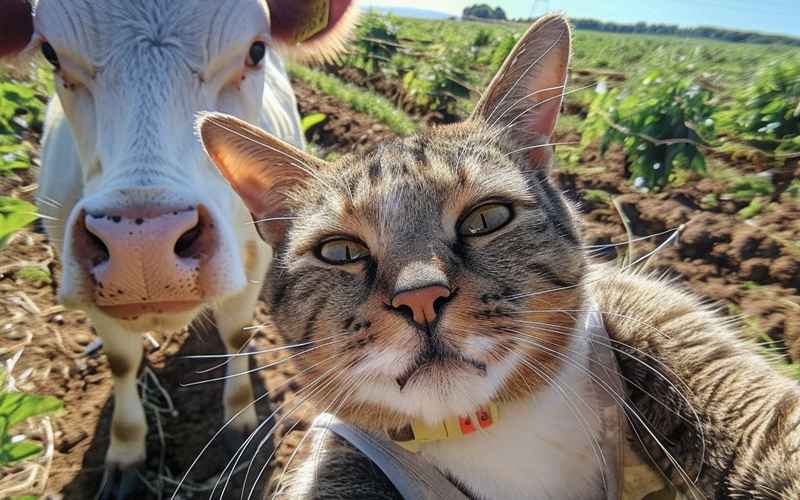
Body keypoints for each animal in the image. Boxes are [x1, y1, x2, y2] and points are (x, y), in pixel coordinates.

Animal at [0, 0, 356, 496]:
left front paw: (240, 418)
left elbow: (235, 336)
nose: (142, 249)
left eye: (256, 50)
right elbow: (121, 362)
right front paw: (126, 452)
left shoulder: (257, 259)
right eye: (51, 53)